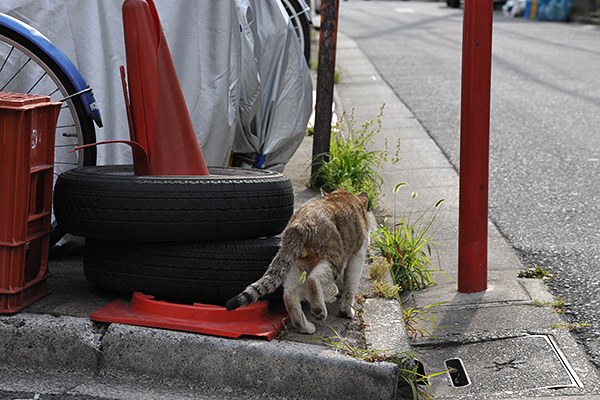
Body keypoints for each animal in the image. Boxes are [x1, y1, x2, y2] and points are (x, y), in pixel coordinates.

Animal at [226, 189, 370, 332]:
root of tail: (301, 224)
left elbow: (344, 282)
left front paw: (340, 293)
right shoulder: (357, 255)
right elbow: (350, 286)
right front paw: (347, 310)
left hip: (294, 263)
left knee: (289, 294)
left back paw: (305, 327)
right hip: (335, 259)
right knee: (313, 280)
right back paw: (318, 311)